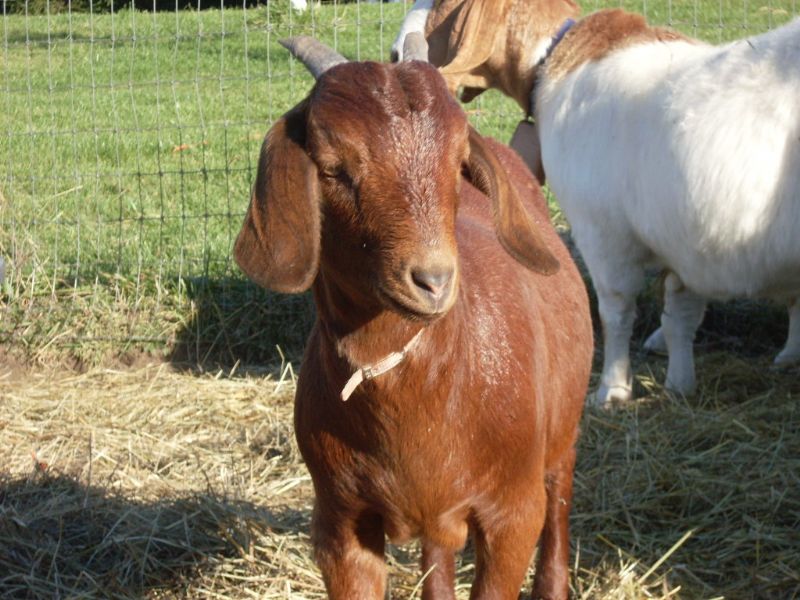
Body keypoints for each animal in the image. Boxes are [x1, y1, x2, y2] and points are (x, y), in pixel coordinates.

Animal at [234, 35, 593, 599]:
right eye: (333, 168)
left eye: (458, 161)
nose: (433, 280)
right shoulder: (340, 520)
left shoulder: (513, 512)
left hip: (562, 437)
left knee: (558, 508)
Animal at [395, 2, 800, 406]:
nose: (396, 53)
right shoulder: (687, 242)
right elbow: (680, 315)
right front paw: (679, 384)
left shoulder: (603, 234)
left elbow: (615, 313)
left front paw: (612, 390)